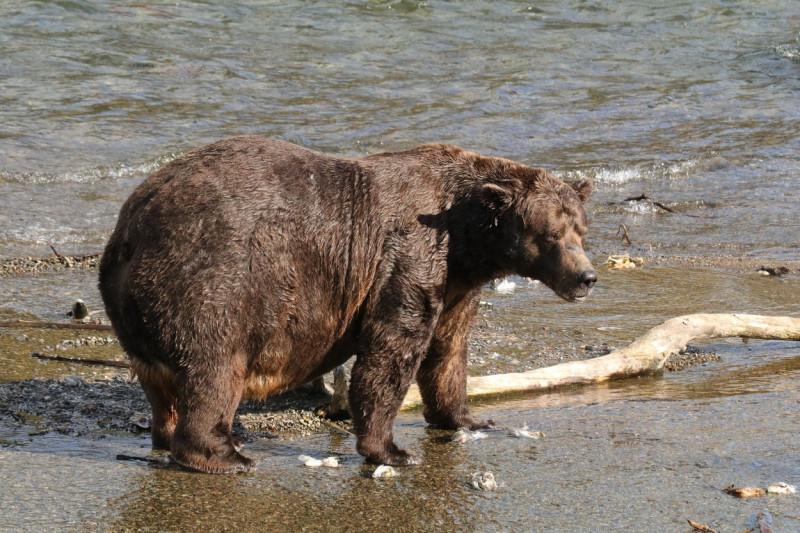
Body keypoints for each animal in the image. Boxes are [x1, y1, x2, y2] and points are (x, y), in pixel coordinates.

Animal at [98, 135, 592, 472]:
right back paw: (225, 454)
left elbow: (448, 351)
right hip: (215, 275)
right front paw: (392, 449)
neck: (467, 238)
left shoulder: (456, 284)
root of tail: (129, 229)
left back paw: (167, 435)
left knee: (160, 383)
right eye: (550, 234)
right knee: (216, 365)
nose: (586, 277)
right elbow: (392, 350)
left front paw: (468, 419)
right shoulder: (407, 255)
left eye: (581, 229)